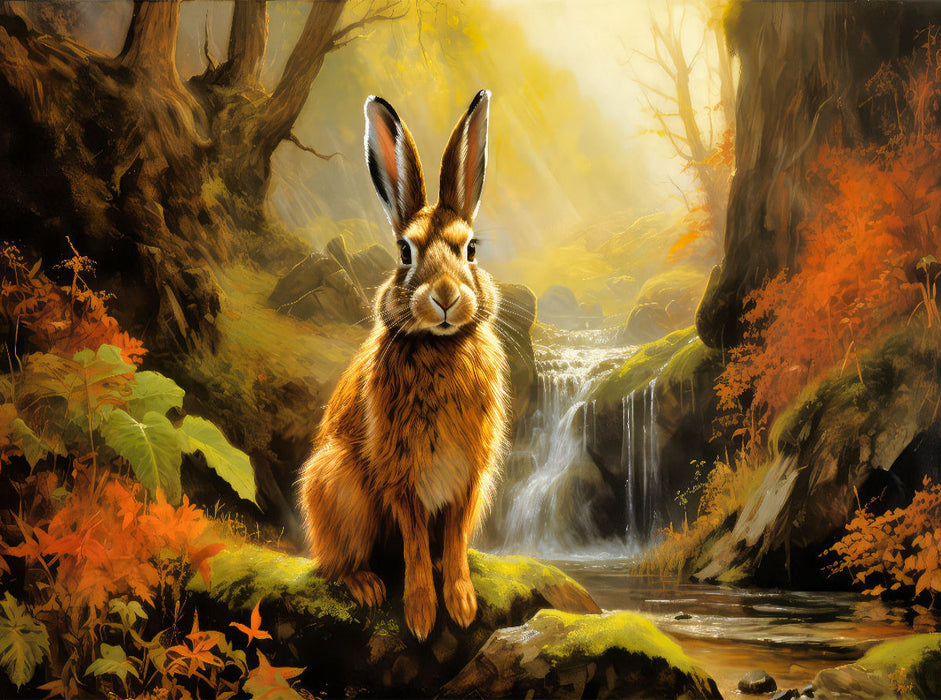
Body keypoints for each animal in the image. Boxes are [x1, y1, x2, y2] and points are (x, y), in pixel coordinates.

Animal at [299, 90, 508, 641]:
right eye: (404, 252)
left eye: (470, 249)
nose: (445, 297)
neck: (439, 348)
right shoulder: (402, 475)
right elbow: (414, 541)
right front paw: (420, 615)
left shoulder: (468, 477)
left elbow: (453, 542)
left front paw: (461, 602)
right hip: (340, 486)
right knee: (339, 562)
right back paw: (367, 585)